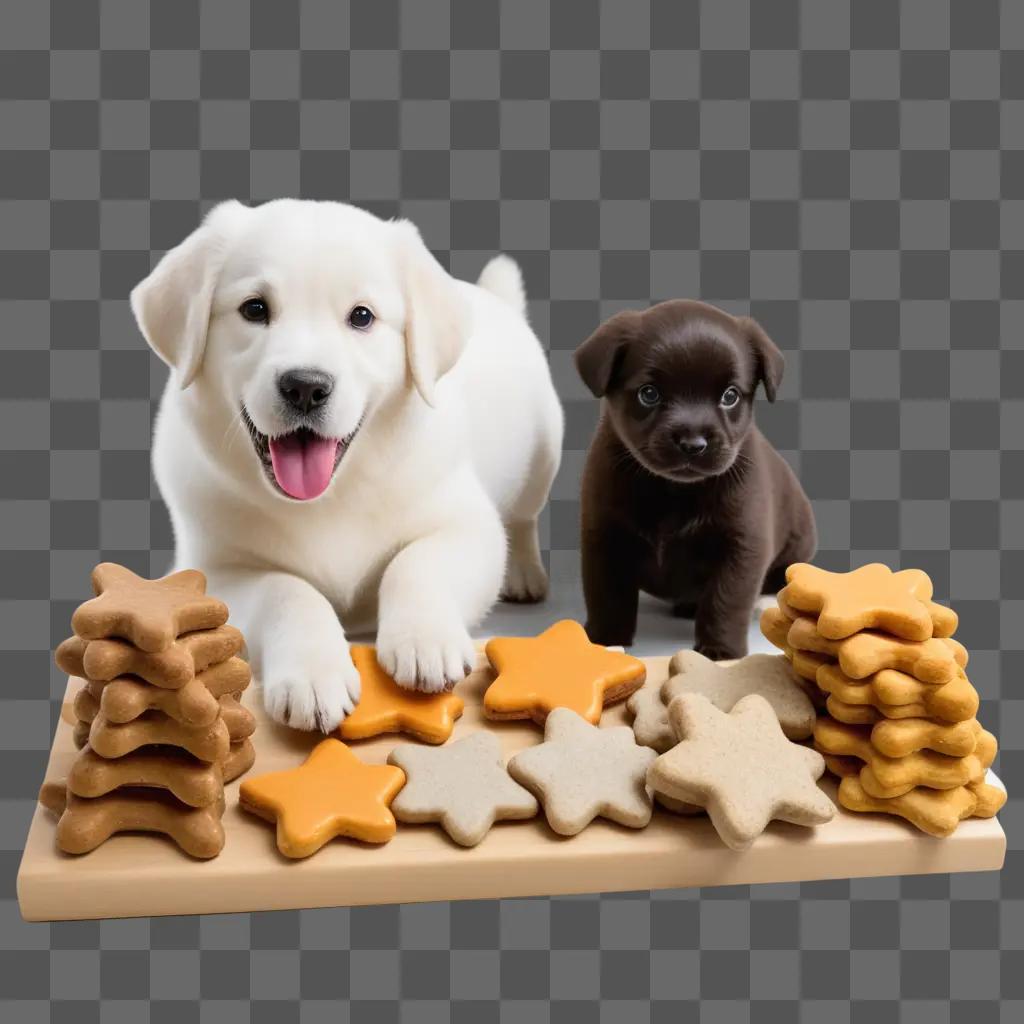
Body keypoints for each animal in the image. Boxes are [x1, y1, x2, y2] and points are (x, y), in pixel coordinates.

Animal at [132, 197, 565, 729]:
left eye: (362, 317)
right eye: (254, 309)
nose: (305, 386)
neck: (332, 494)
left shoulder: (464, 525)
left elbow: (417, 562)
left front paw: (424, 640)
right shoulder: (213, 570)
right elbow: (286, 590)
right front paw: (313, 673)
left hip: (543, 457)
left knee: (523, 518)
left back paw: (524, 573)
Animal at [577, 299, 815, 659]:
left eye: (730, 396)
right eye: (649, 394)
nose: (693, 443)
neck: (674, 491)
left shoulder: (742, 546)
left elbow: (726, 600)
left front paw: (720, 650)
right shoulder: (604, 537)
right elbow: (606, 595)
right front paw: (604, 639)